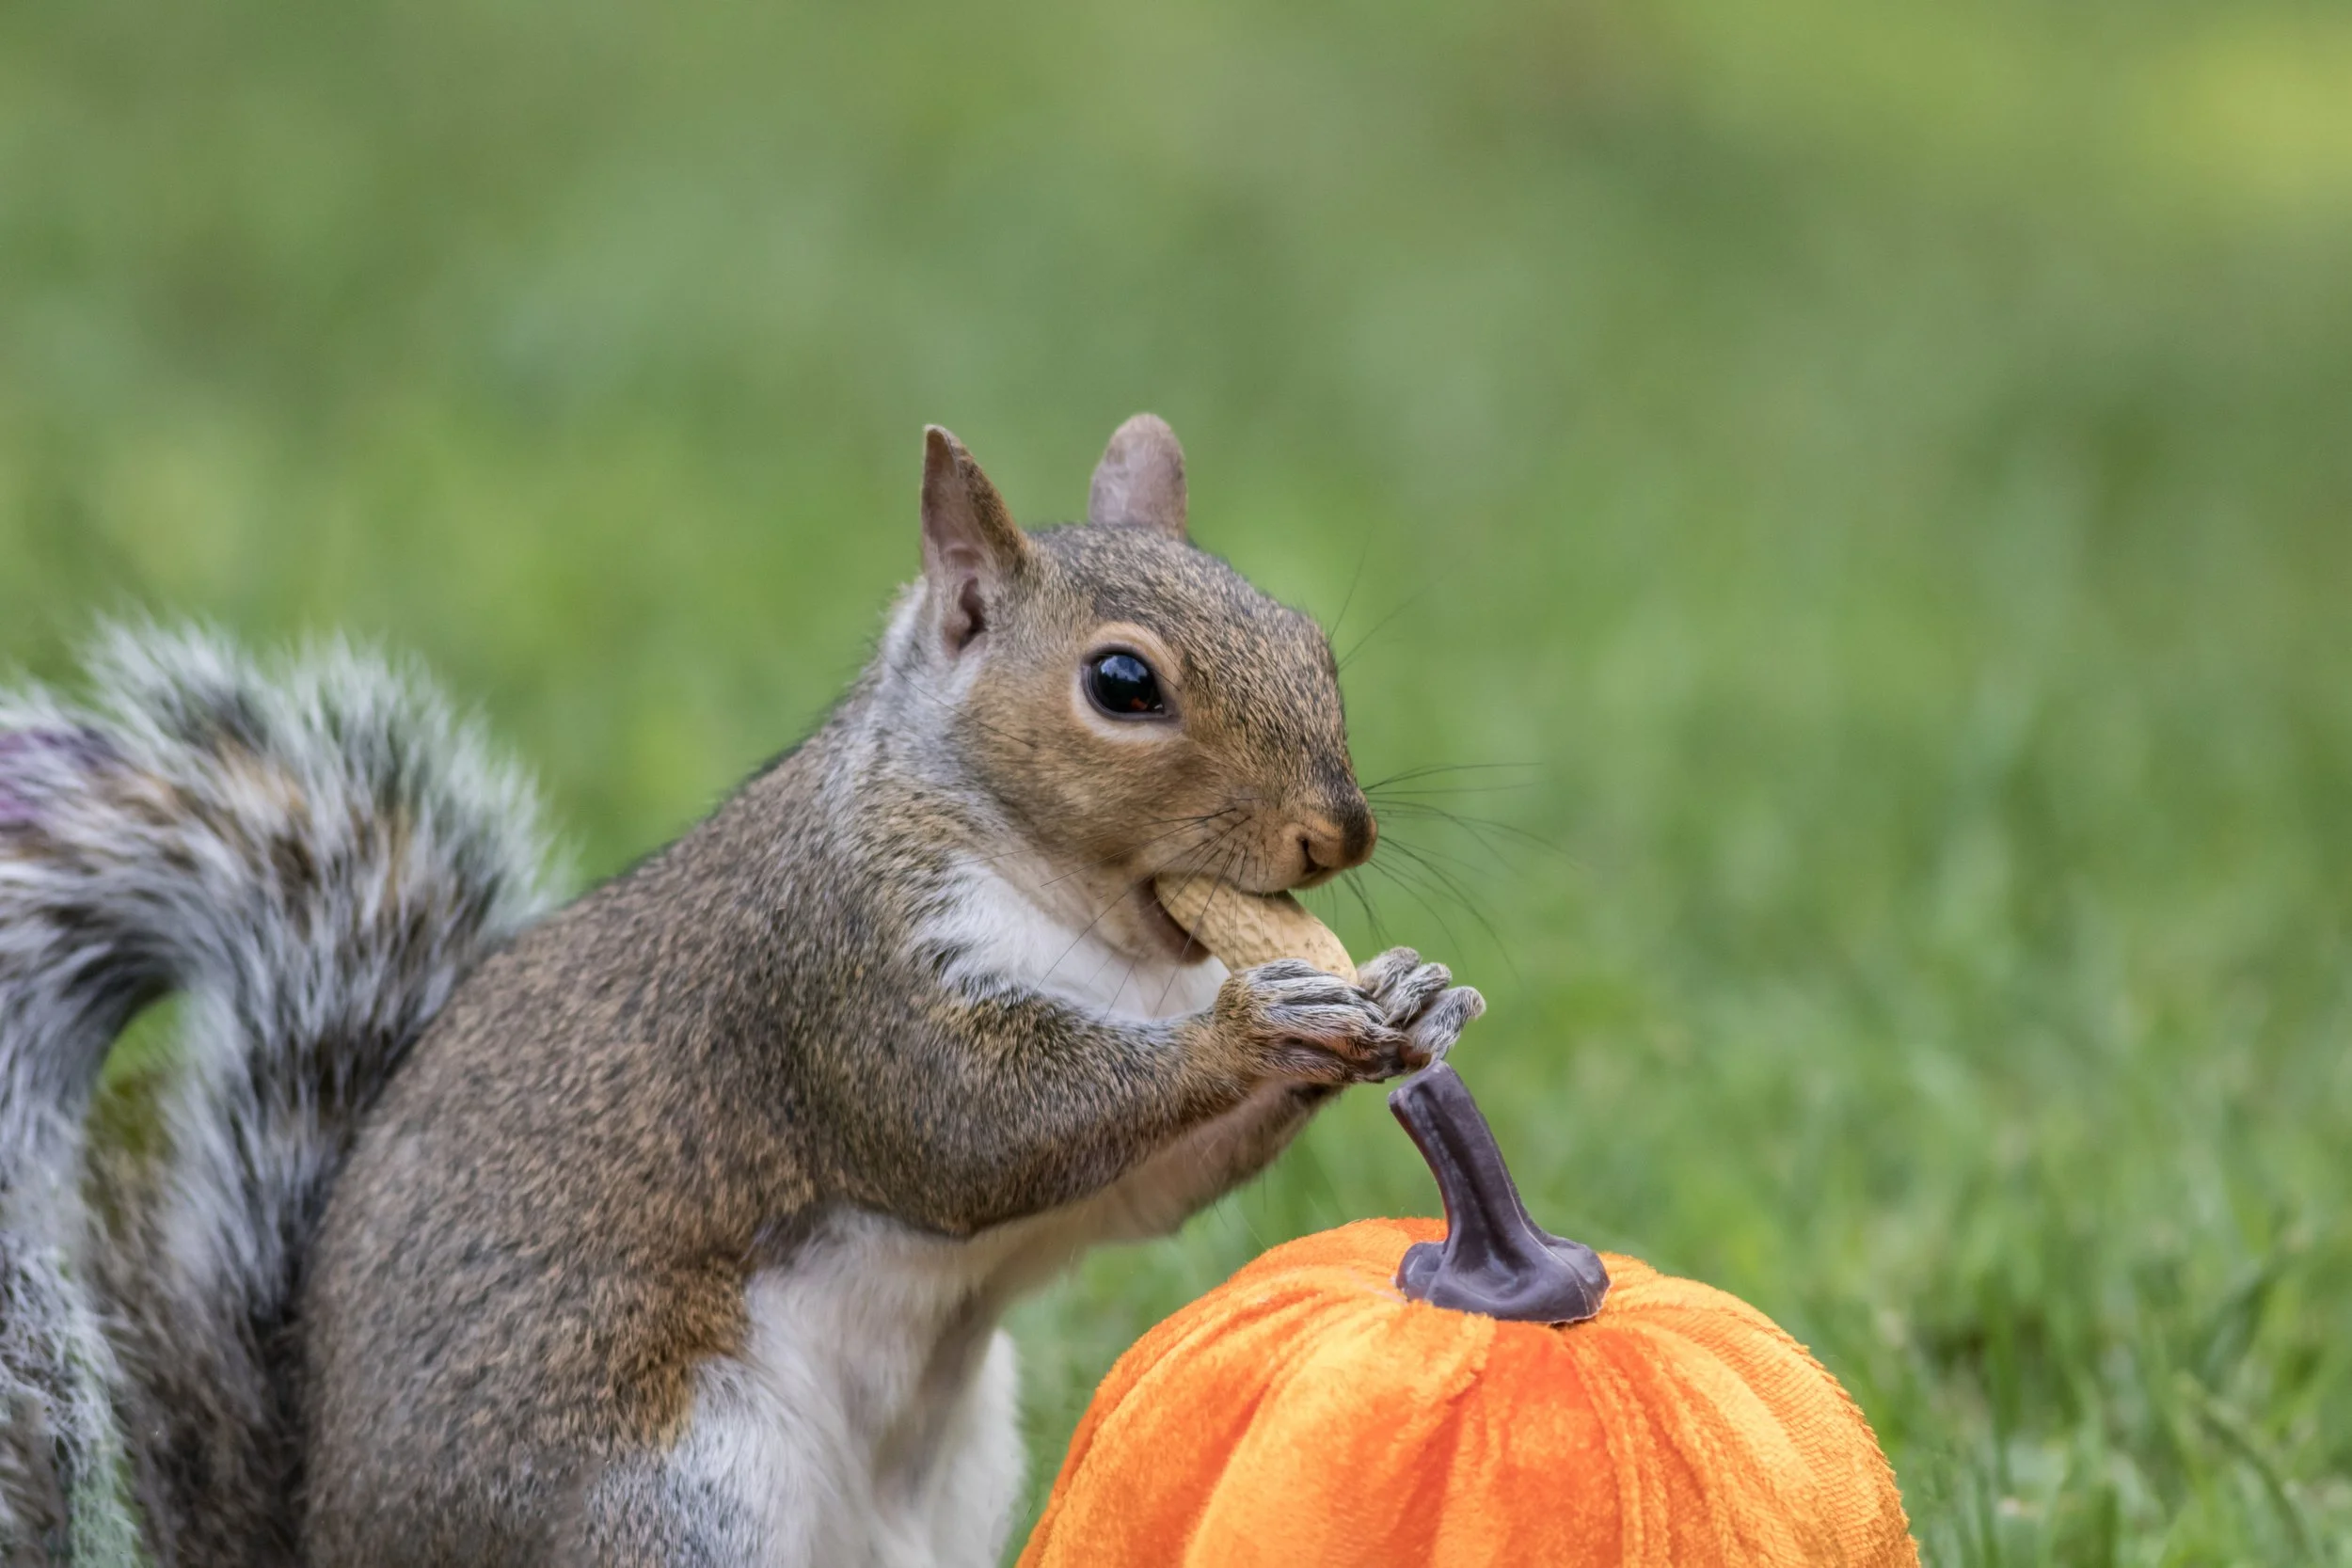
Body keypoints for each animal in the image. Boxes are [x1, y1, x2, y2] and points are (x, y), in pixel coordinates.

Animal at [0, 415, 1484, 1567]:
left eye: (1312, 641)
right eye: (1122, 682)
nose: (1338, 833)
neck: (1100, 933)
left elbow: (1138, 1189)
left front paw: (1405, 994)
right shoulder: (838, 976)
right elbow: (979, 1128)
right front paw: (1260, 1021)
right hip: (671, 1495)